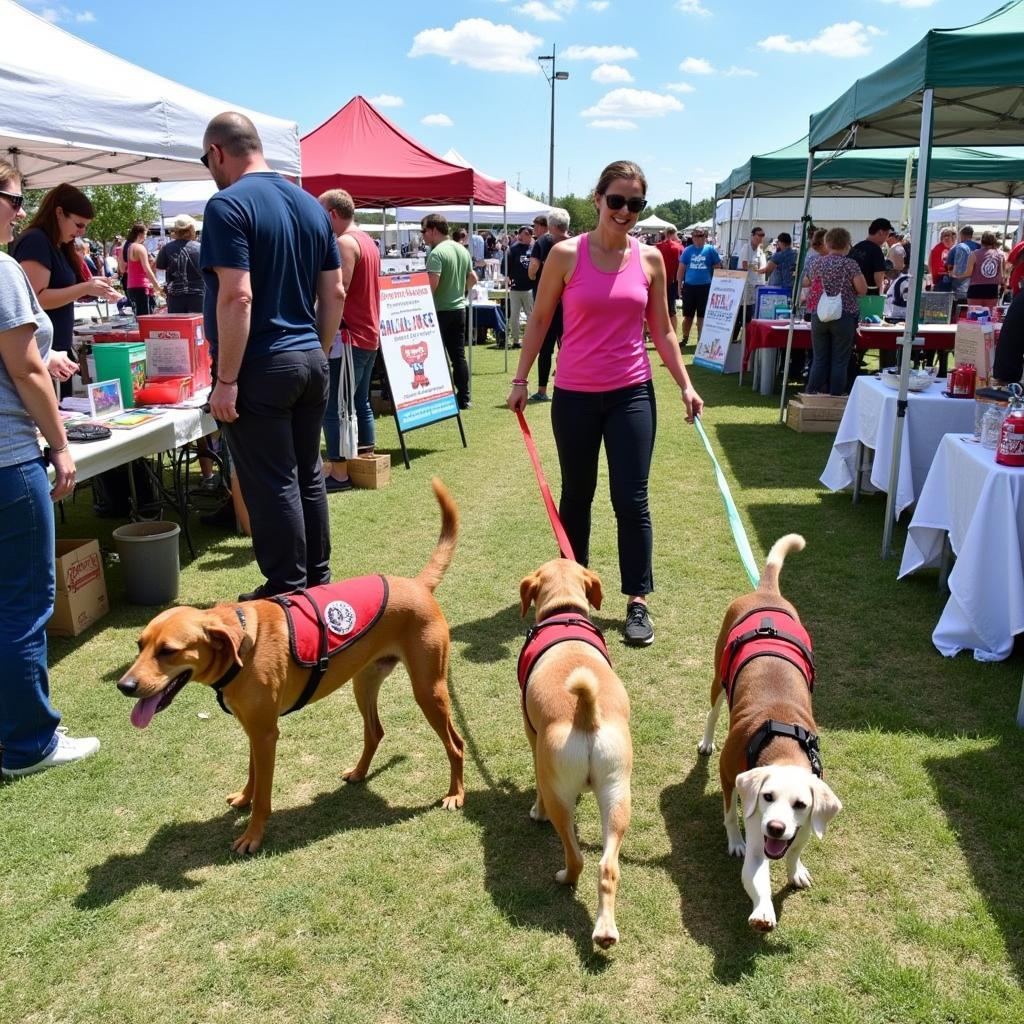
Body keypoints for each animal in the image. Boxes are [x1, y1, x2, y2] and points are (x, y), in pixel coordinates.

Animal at [117, 479, 466, 856]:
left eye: (168, 651)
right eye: (139, 645)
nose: (125, 686)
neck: (244, 641)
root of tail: (417, 584)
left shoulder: (267, 733)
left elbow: (264, 795)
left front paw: (253, 835)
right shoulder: (253, 728)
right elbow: (253, 775)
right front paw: (244, 797)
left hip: (428, 690)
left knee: (457, 744)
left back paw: (455, 794)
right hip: (364, 683)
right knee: (376, 731)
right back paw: (359, 773)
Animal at [520, 561, 630, 950]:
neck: (563, 613)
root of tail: (585, 712)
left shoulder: (532, 736)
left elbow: (536, 784)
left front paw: (533, 811)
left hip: (560, 795)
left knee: (577, 856)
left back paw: (564, 876)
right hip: (617, 792)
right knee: (607, 867)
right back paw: (606, 932)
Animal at [700, 536, 843, 937]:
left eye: (800, 804)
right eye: (767, 796)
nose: (776, 827)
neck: (783, 746)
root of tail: (765, 592)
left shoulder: (806, 824)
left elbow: (795, 850)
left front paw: (796, 870)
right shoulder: (738, 787)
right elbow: (748, 856)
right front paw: (763, 909)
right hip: (718, 682)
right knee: (713, 713)